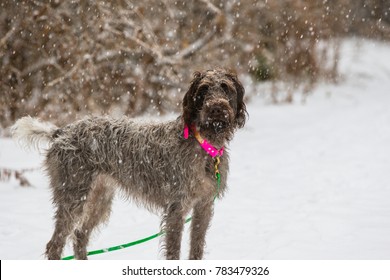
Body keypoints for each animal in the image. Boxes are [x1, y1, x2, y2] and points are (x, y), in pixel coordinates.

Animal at [13, 68, 248, 260]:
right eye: (204, 89)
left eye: (225, 87)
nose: (216, 108)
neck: (204, 143)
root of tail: (61, 131)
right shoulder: (176, 209)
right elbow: (174, 252)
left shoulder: (203, 207)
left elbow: (196, 250)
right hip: (73, 197)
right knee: (55, 244)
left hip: (99, 198)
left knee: (79, 235)